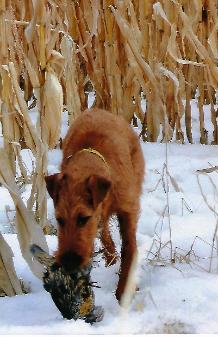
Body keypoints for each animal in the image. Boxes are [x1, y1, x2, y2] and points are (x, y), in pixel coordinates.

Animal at [45, 107, 145, 300]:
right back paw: (110, 259)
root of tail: (98, 109)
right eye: (59, 219)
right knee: (105, 233)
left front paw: (123, 290)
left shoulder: (128, 210)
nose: (69, 262)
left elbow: (129, 248)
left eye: (83, 218)